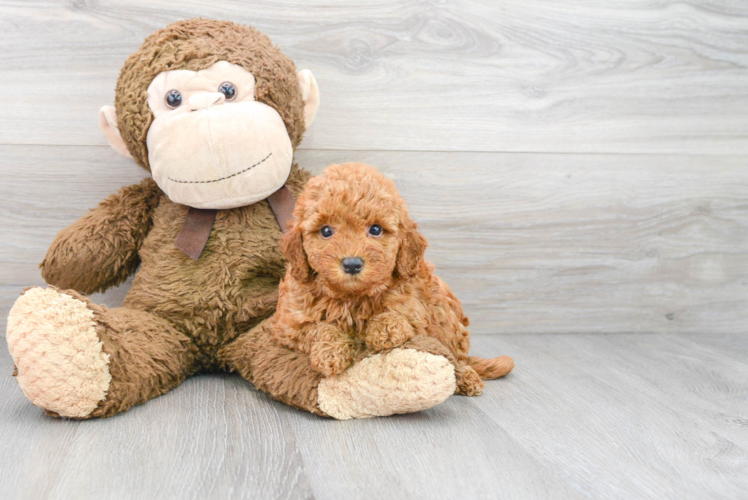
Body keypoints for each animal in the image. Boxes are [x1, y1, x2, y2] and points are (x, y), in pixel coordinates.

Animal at [270, 162, 516, 396]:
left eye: (376, 229)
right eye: (326, 231)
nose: (352, 264)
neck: (352, 297)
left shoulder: (417, 309)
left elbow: (400, 315)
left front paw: (383, 329)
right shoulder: (289, 325)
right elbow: (317, 327)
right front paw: (330, 351)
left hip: (446, 313)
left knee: (454, 356)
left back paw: (466, 377)